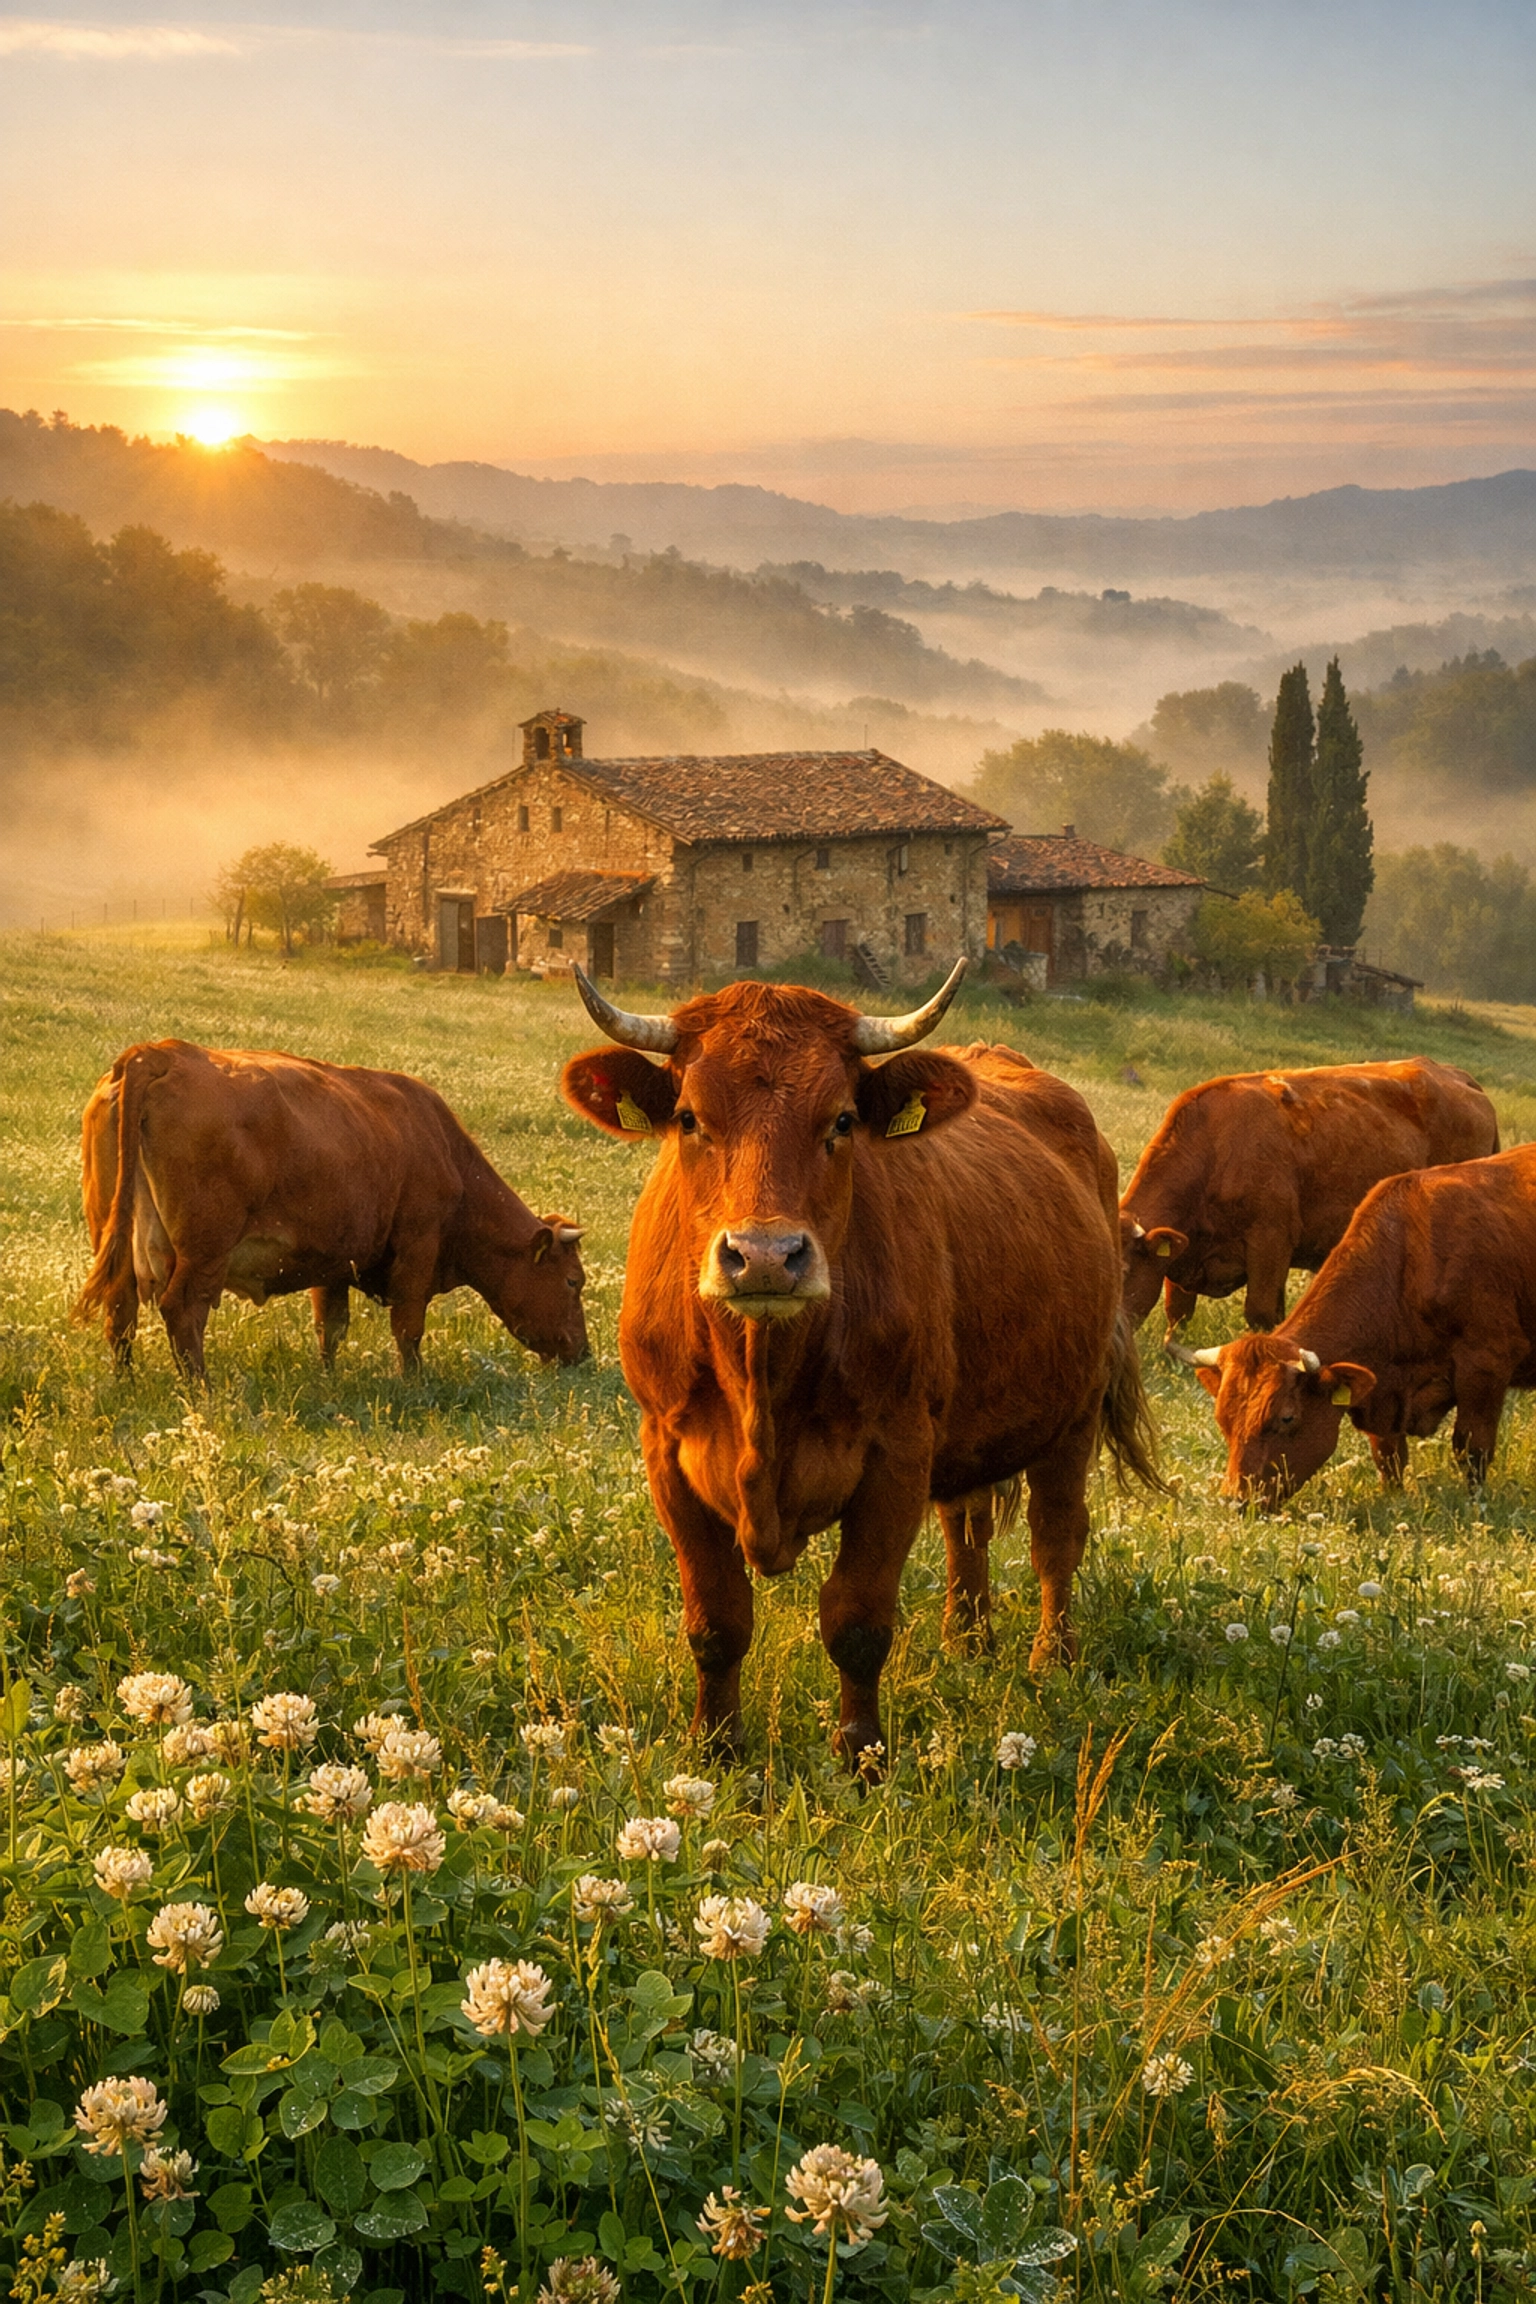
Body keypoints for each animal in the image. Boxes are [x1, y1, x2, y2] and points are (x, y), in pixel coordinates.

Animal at [73, 1039, 589, 1377]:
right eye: (572, 1282)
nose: (583, 1356)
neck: (440, 1146)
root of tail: (159, 1053)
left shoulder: (333, 1262)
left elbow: (332, 1327)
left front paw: (329, 1378)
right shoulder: (418, 1246)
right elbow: (409, 1327)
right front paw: (415, 1383)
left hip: (113, 1237)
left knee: (119, 1308)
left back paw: (126, 1383)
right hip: (204, 1250)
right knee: (182, 1310)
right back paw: (202, 1390)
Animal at [559, 959, 1159, 1765]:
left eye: (841, 1121)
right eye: (688, 1117)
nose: (765, 1256)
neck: (762, 1375)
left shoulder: (895, 1455)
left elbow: (858, 1621)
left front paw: (862, 1757)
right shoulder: (667, 1451)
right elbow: (716, 1619)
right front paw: (716, 1748)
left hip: (1075, 1410)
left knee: (1055, 1537)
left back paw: (1050, 1661)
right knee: (966, 1525)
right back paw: (967, 1641)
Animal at [1120, 1058, 1498, 1340]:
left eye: (1123, 1271)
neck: (1215, 1148)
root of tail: (1456, 1075)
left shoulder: (1270, 1243)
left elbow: (1260, 1313)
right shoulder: (1183, 1256)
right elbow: (1178, 1315)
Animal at [1183, 1142, 1536, 1507]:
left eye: (1286, 1417)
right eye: (1223, 1419)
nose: (1237, 1501)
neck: (1411, 1259)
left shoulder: (1486, 1366)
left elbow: (1472, 1448)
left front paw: (1476, 1504)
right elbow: (1388, 1455)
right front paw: (1394, 1498)